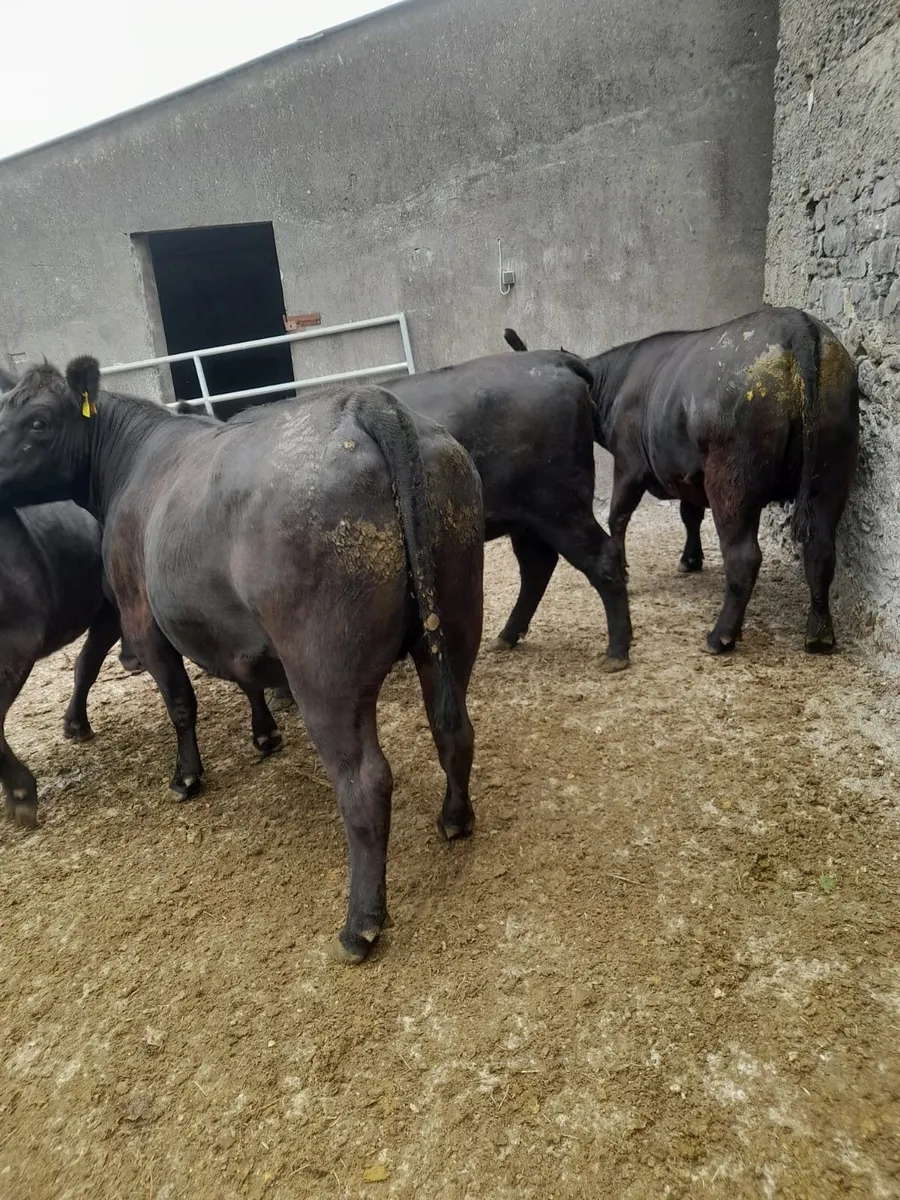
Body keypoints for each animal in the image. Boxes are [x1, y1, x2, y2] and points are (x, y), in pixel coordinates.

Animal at [0, 360, 484, 962]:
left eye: (38, 421)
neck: (131, 460)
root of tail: (364, 402)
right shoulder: (226, 625)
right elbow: (243, 675)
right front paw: (264, 734)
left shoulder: (140, 616)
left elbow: (181, 703)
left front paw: (186, 776)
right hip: (456, 618)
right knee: (454, 728)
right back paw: (455, 820)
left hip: (324, 670)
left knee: (366, 781)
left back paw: (360, 925)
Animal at [503, 307, 860, 655]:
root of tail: (796, 324)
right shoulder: (687, 473)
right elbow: (689, 514)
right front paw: (691, 559)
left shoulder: (629, 463)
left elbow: (618, 515)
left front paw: (624, 567)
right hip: (831, 473)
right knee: (820, 551)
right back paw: (819, 636)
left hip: (731, 481)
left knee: (743, 558)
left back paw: (720, 637)